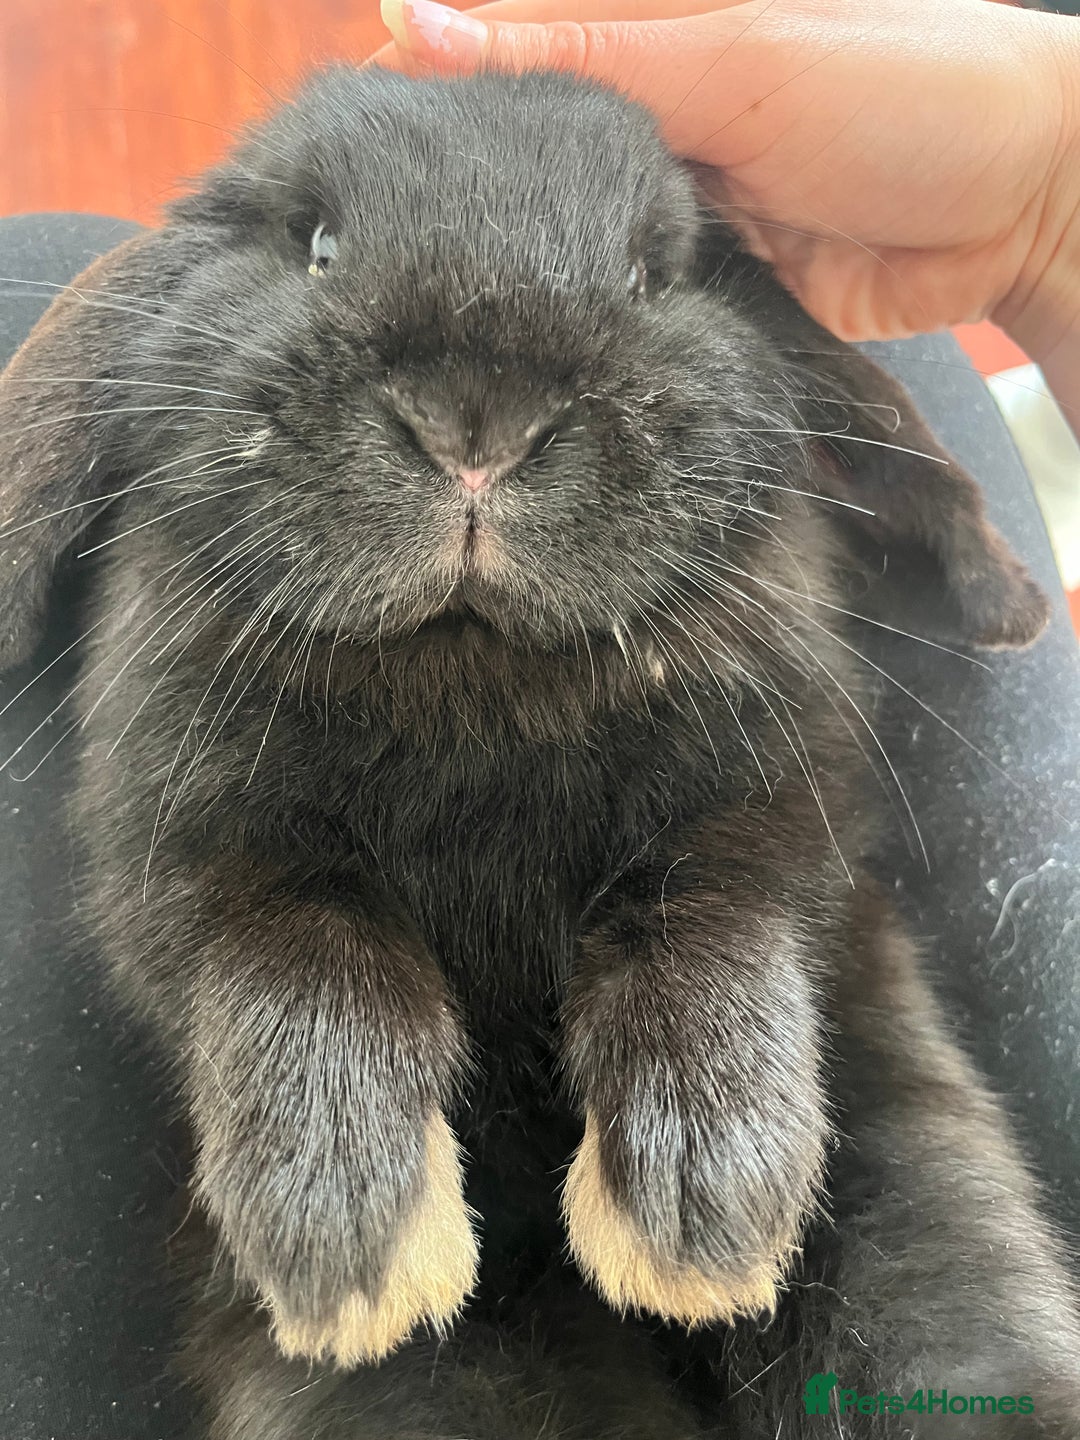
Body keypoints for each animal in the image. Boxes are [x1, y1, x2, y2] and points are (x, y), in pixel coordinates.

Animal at [0, 64, 1077, 1437]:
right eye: (316, 244)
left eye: (651, 274)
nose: (477, 428)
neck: (475, 679)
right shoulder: (179, 846)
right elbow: (296, 954)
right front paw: (350, 1238)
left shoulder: (787, 815)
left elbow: (709, 925)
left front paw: (703, 1219)